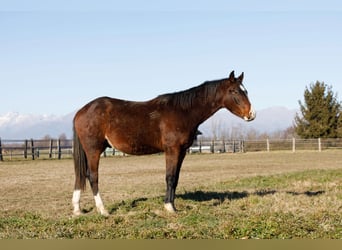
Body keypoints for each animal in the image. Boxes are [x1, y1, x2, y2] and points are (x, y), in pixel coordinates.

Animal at [71, 71, 254, 217]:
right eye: (233, 91)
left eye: (245, 90)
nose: (251, 114)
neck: (183, 112)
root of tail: (81, 111)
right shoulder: (172, 150)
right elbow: (170, 177)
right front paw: (169, 207)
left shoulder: (182, 151)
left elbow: (176, 178)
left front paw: (172, 204)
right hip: (94, 150)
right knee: (92, 176)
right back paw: (103, 210)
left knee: (81, 175)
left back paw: (77, 210)